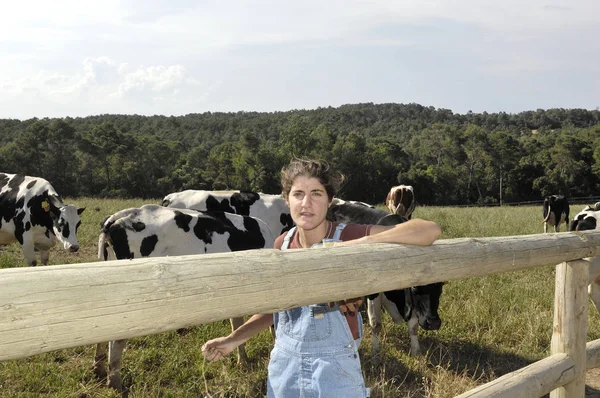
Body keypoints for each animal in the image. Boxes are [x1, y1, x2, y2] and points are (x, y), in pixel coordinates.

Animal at [95, 205, 274, 392]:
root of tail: (118, 217)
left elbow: (237, 326)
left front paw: (243, 361)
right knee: (117, 339)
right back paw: (115, 382)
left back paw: (99, 369)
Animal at [326, 198, 442, 354]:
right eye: (414, 287)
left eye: (441, 285)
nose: (433, 322)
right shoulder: (373, 293)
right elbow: (376, 324)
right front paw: (375, 351)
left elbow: (413, 327)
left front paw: (416, 351)